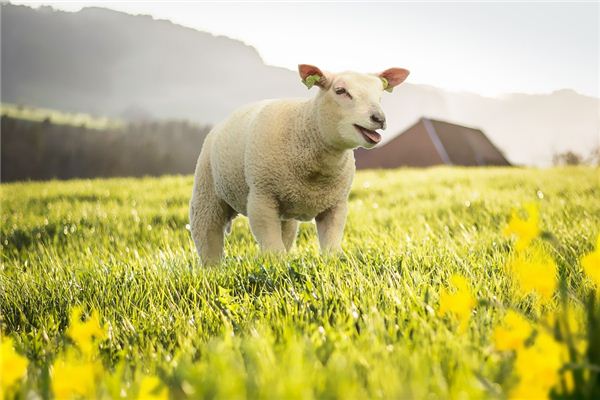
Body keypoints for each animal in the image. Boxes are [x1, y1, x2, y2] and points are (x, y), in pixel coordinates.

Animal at [190, 64, 410, 264]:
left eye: (380, 94)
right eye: (340, 91)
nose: (379, 118)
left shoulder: (335, 205)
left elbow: (330, 247)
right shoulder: (261, 197)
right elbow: (273, 250)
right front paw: (276, 271)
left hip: (285, 212)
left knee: (286, 235)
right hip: (207, 193)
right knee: (207, 236)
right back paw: (213, 269)